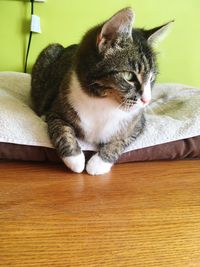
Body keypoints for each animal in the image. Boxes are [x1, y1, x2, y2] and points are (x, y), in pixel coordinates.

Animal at [30, 7, 172, 176]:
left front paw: (99, 163)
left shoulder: (138, 123)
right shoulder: (56, 107)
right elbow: (61, 129)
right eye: (129, 76)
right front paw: (75, 159)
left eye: (151, 78)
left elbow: (121, 139)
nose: (146, 100)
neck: (104, 102)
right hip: (50, 50)